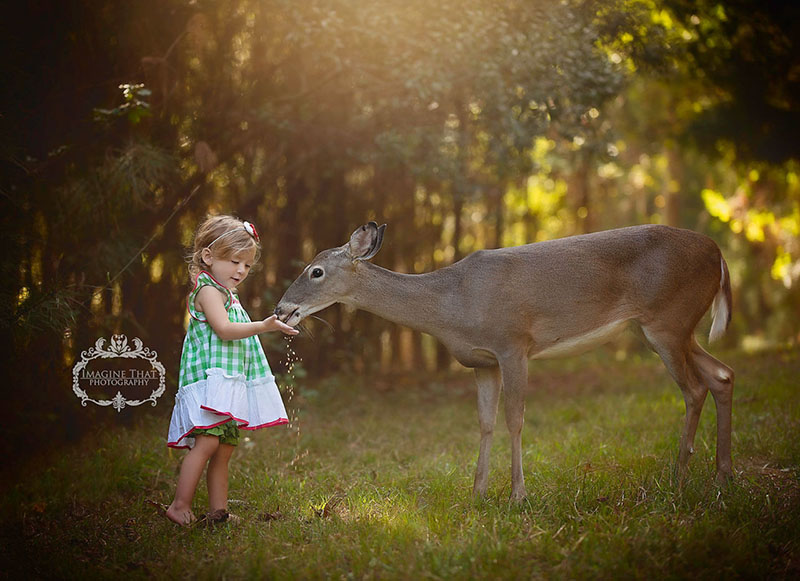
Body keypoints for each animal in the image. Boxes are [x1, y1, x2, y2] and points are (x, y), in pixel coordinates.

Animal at [274, 222, 732, 498]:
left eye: (315, 271)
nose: (281, 309)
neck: (451, 304)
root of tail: (718, 252)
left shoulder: (514, 344)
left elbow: (515, 419)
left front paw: (517, 494)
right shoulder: (482, 361)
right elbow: (485, 422)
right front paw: (477, 491)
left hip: (669, 319)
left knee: (695, 388)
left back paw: (680, 479)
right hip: (665, 329)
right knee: (722, 375)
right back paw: (722, 475)